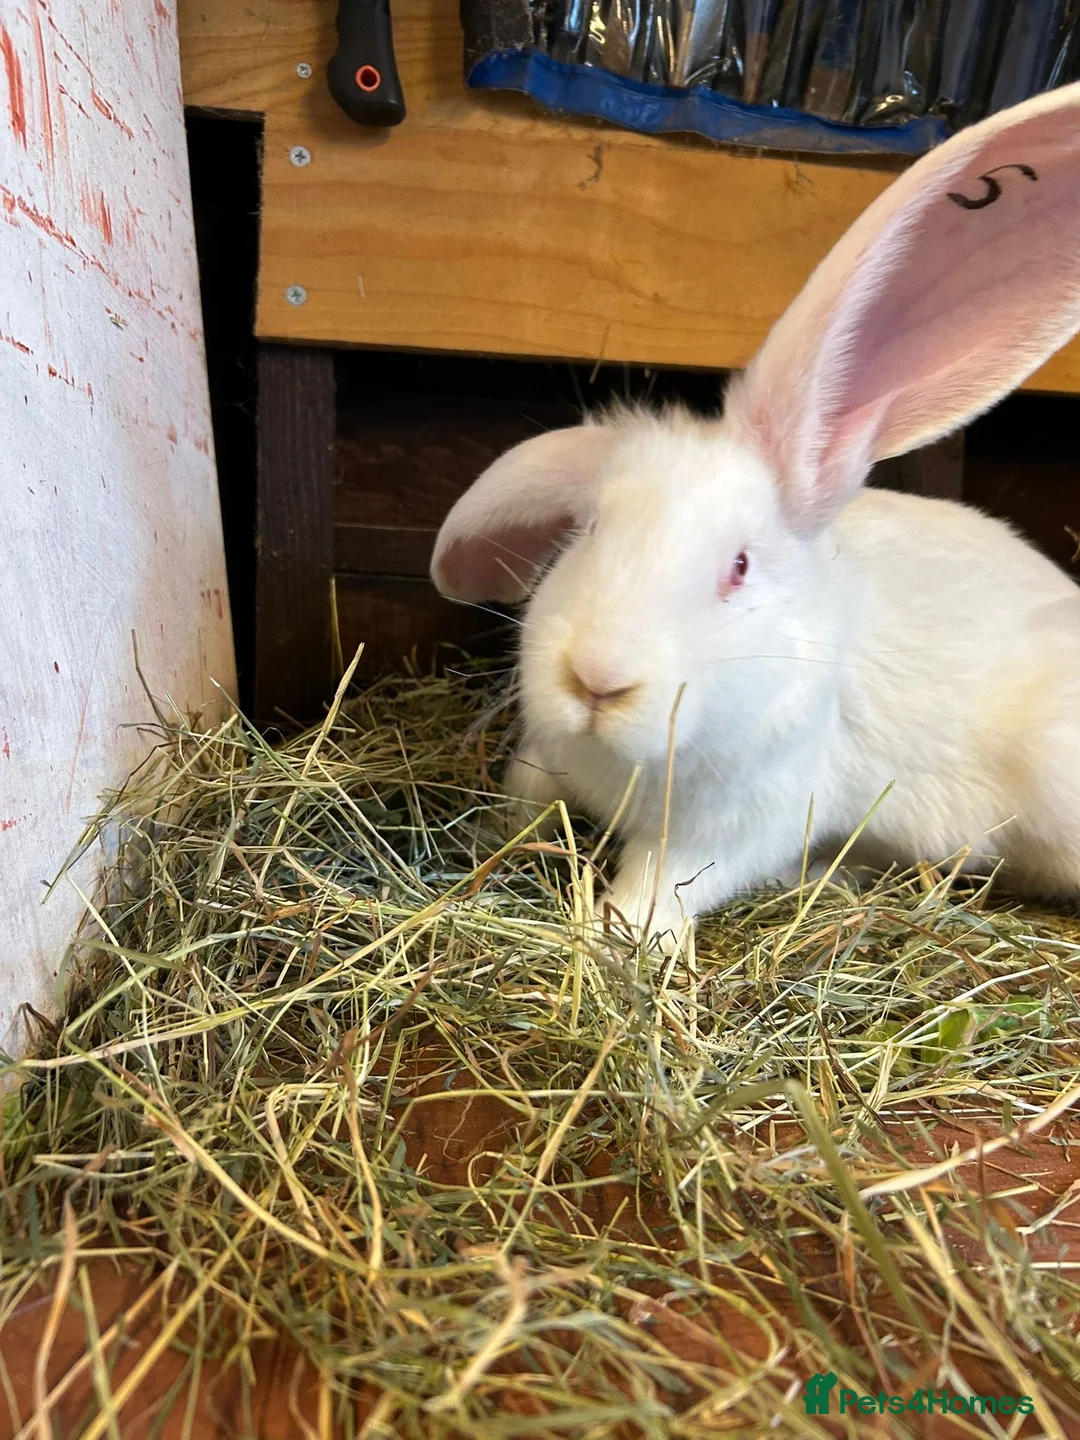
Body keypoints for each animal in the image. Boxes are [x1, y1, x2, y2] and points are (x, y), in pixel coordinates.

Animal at [431, 80, 1080, 949]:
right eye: (590, 530)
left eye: (738, 568)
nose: (598, 681)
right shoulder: (550, 757)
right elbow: (528, 792)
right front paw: (493, 832)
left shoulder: (732, 826)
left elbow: (661, 886)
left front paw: (616, 936)